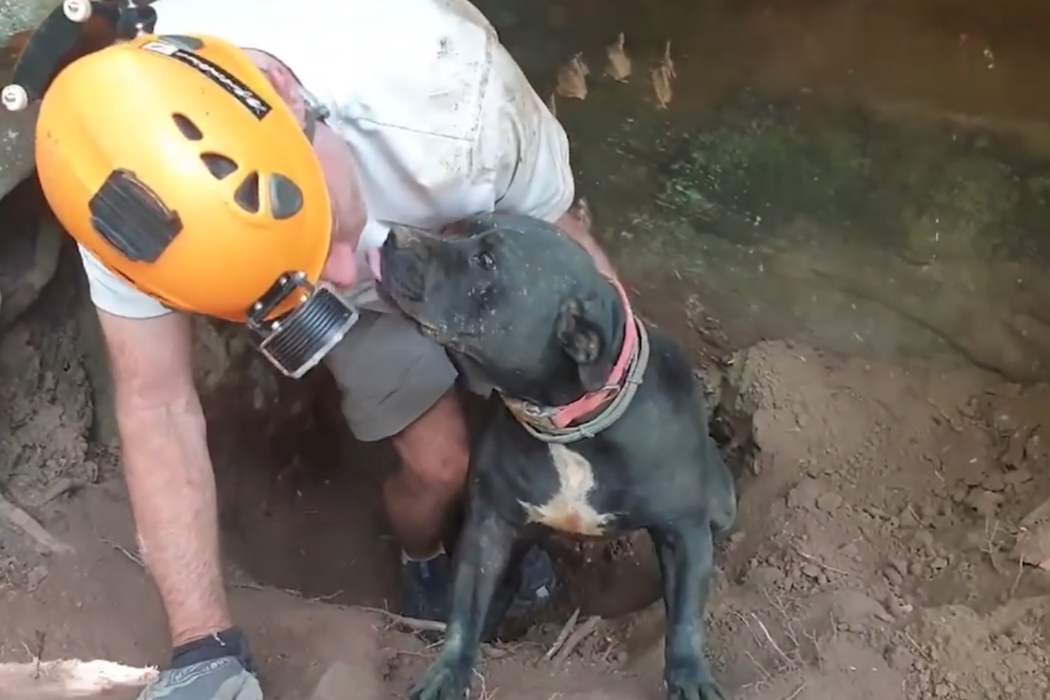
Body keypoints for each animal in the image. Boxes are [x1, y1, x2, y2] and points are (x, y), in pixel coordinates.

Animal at [380, 214, 739, 700]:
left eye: (486, 261)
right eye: (461, 227)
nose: (392, 235)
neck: (567, 426)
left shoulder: (685, 530)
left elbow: (684, 620)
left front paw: (689, 676)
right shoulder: (489, 525)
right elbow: (466, 610)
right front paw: (449, 670)